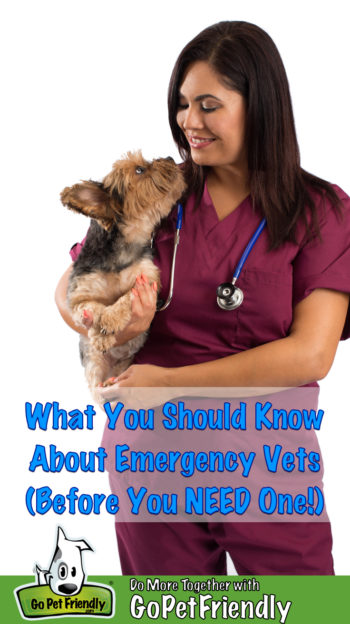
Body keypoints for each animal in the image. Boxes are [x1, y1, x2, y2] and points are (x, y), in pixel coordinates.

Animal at [60, 154, 186, 402]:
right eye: (139, 170)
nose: (169, 157)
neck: (122, 252)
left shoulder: (148, 283)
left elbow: (126, 298)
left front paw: (109, 322)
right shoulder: (79, 296)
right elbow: (90, 308)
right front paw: (101, 333)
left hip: (126, 365)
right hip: (94, 369)